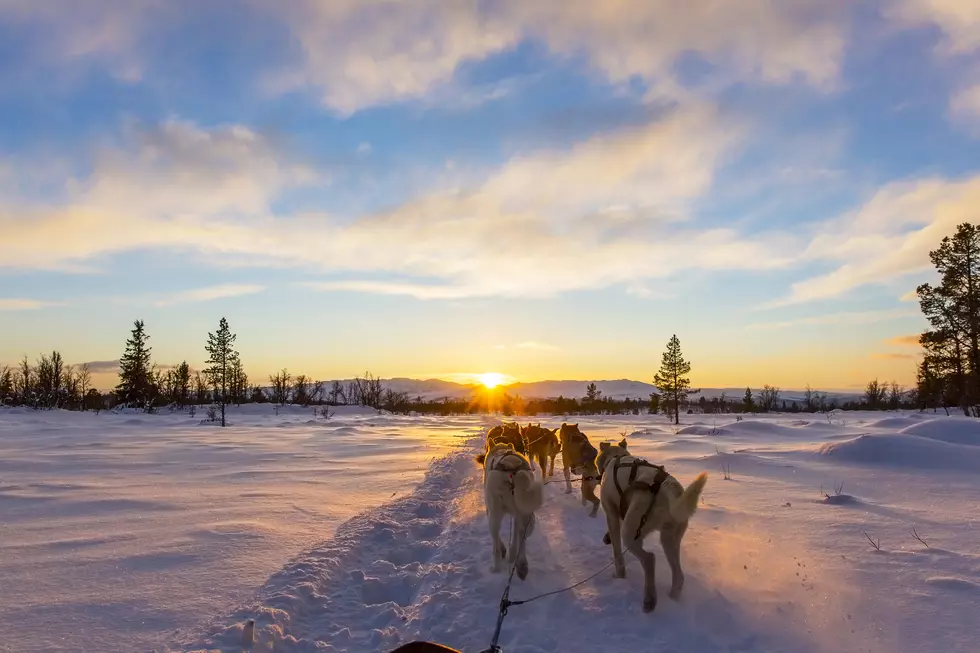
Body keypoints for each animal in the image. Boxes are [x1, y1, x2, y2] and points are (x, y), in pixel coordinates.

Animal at [596, 438, 704, 612]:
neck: (616, 458)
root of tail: (668, 488)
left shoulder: (611, 514)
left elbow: (617, 552)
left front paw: (619, 575)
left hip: (631, 533)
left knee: (649, 559)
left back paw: (650, 599)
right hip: (670, 539)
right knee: (678, 574)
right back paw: (673, 597)